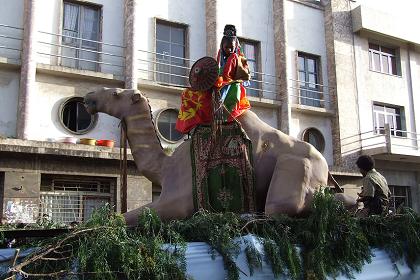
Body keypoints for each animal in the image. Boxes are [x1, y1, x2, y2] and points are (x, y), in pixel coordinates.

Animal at [83, 87, 356, 225]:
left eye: (116, 94)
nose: (88, 98)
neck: (164, 166)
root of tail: (327, 167)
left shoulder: (179, 201)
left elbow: (122, 217)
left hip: (298, 167)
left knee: (284, 205)